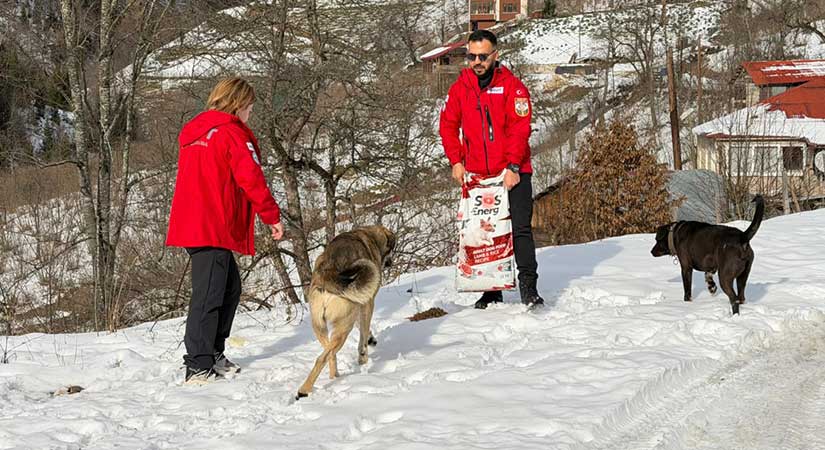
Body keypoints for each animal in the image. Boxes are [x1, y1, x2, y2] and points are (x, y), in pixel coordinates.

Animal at [296, 225, 396, 399]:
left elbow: (362, 327)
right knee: (322, 358)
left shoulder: (357, 302)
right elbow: (363, 332)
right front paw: (364, 355)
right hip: (344, 326)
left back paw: (334, 376)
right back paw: (304, 390)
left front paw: (370, 339)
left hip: (320, 326)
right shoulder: (367, 302)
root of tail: (327, 277)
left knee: (330, 353)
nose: (390, 263)